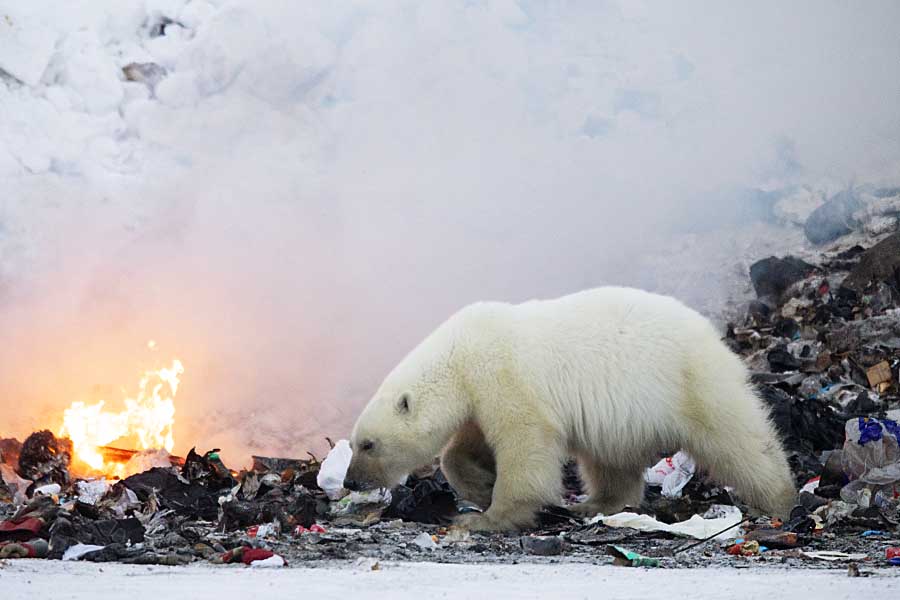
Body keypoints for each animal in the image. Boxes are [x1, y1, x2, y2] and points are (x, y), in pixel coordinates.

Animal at [344, 286, 796, 528]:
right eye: (355, 443)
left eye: (367, 444)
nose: (350, 481)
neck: (459, 355)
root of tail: (713, 334)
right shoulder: (479, 396)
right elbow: (465, 447)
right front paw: (481, 485)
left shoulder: (504, 375)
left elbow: (526, 441)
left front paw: (488, 516)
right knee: (609, 460)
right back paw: (597, 503)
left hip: (691, 380)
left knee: (739, 439)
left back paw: (779, 500)